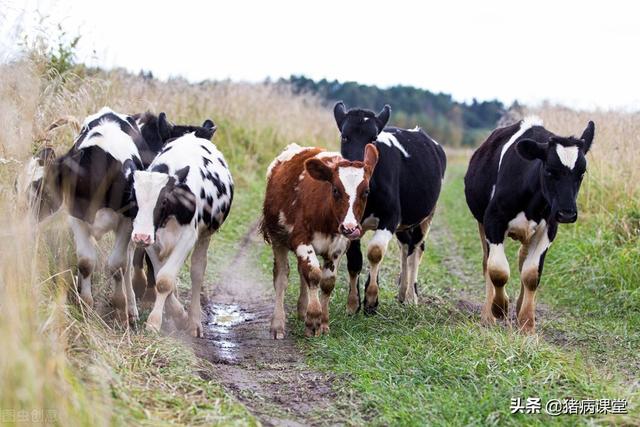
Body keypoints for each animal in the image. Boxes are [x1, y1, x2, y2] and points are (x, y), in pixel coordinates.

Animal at [130, 131, 232, 338]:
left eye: (163, 201)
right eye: (134, 199)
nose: (140, 236)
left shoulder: (187, 238)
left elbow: (165, 280)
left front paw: (156, 322)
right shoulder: (153, 241)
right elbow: (160, 276)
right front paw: (176, 314)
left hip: (205, 235)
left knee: (197, 271)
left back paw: (194, 322)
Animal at [262, 145, 378, 340]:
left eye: (366, 191)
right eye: (335, 190)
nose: (350, 227)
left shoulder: (338, 247)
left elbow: (327, 282)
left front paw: (322, 323)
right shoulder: (300, 239)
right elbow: (314, 274)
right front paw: (313, 319)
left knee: (302, 273)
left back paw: (302, 310)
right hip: (277, 238)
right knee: (281, 277)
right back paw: (278, 324)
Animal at [332, 103, 448, 314]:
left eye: (373, 138)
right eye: (345, 136)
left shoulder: (391, 217)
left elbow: (375, 251)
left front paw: (371, 300)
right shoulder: (349, 223)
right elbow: (354, 260)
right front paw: (353, 304)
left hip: (427, 215)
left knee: (416, 249)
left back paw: (411, 296)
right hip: (405, 223)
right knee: (405, 246)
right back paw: (402, 293)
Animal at [464, 116, 596, 334]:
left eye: (582, 173)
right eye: (549, 171)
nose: (567, 213)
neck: (532, 202)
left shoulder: (549, 229)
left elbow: (531, 275)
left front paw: (527, 322)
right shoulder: (493, 220)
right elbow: (498, 270)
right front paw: (500, 307)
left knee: (521, 259)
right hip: (481, 222)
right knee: (487, 262)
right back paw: (488, 316)